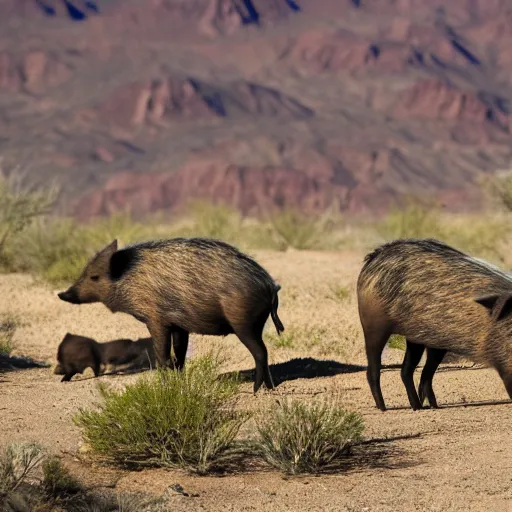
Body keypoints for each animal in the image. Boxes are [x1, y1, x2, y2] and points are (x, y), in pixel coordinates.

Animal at [59, 237, 288, 392]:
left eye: (94, 277)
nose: (62, 294)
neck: (129, 279)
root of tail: (271, 286)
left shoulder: (156, 321)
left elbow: (162, 357)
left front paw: (162, 386)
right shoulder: (179, 325)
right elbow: (179, 357)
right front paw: (177, 383)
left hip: (245, 325)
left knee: (260, 353)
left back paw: (257, 389)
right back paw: (269, 387)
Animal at [358, 238, 512, 410]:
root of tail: (373, 256)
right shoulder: (505, 364)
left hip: (421, 340)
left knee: (410, 372)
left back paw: (424, 406)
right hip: (374, 327)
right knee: (374, 370)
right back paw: (384, 407)